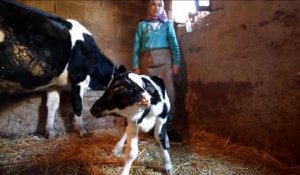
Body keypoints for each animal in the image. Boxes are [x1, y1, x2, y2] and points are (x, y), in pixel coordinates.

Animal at [0, 0, 123, 138]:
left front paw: (51, 131)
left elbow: (52, 106)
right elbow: (78, 105)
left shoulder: (54, 83)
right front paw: (82, 130)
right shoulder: (79, 76)